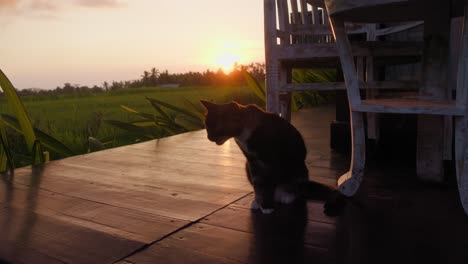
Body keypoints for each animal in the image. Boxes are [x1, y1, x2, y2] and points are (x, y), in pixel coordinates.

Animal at [199, 100, 346, 216]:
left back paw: (286, 195)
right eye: (206, 126)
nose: (208, 137)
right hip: (248, 167)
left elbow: (268, 184)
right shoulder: (253, 162)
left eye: (215, 128)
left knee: (296, 188)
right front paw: (259, 201)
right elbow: (258, 183)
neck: (245, 134)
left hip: (296, 168)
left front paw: (267, 206)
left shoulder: (270, 162)